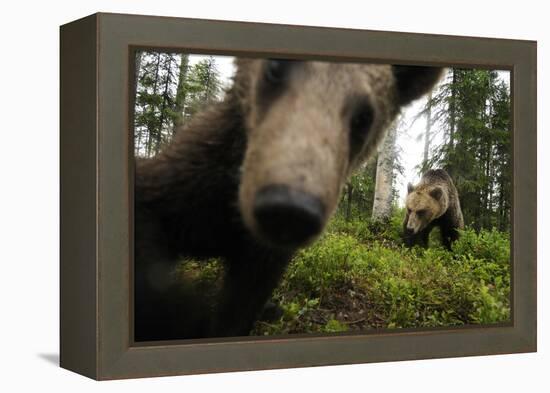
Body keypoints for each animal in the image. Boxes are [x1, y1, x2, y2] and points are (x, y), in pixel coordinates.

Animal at [136, 58, 446, 340]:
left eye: (364, 117)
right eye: (275, 67)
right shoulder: (189, 182)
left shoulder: (262, 259)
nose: (288, 208)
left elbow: (240, 307)